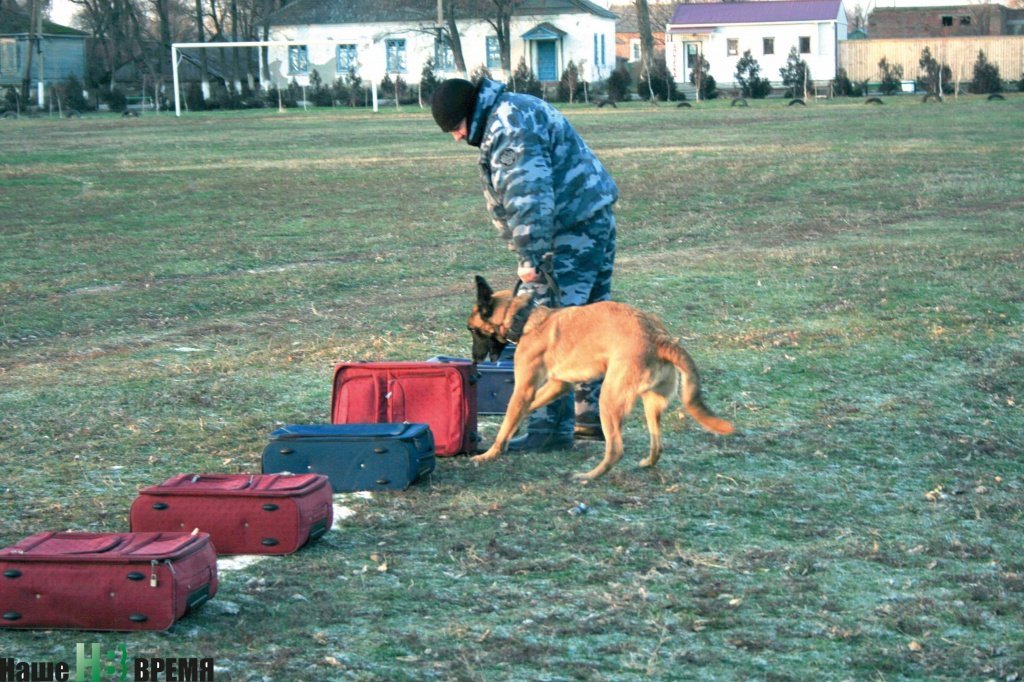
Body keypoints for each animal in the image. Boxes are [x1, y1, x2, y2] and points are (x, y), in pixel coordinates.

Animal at [468, 276, 733, 477]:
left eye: (472, 330)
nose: (474, 360)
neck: (524, 318)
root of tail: (659, 336)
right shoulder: (558, 384)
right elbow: (524, 410)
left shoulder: (524, 388)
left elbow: (509, 418)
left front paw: (489, 453)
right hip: (651, 403)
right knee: (657, 444)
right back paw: (647, 463)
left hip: (609, 400)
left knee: (616, 449)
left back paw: (588, 476)